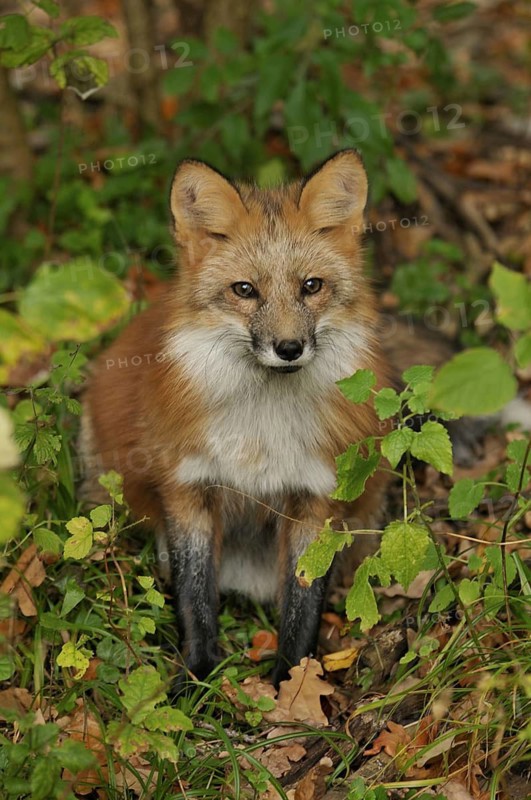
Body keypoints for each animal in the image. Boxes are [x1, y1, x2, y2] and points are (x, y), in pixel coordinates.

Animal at [78, 150, 406, 686]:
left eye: (311, 286)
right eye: (245, 290)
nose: (289, 348)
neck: (261, 433)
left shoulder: (317, 499)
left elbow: (302, 607)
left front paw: (291, 686)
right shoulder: (188, 487)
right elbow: (194, 599)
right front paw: (196, 678)